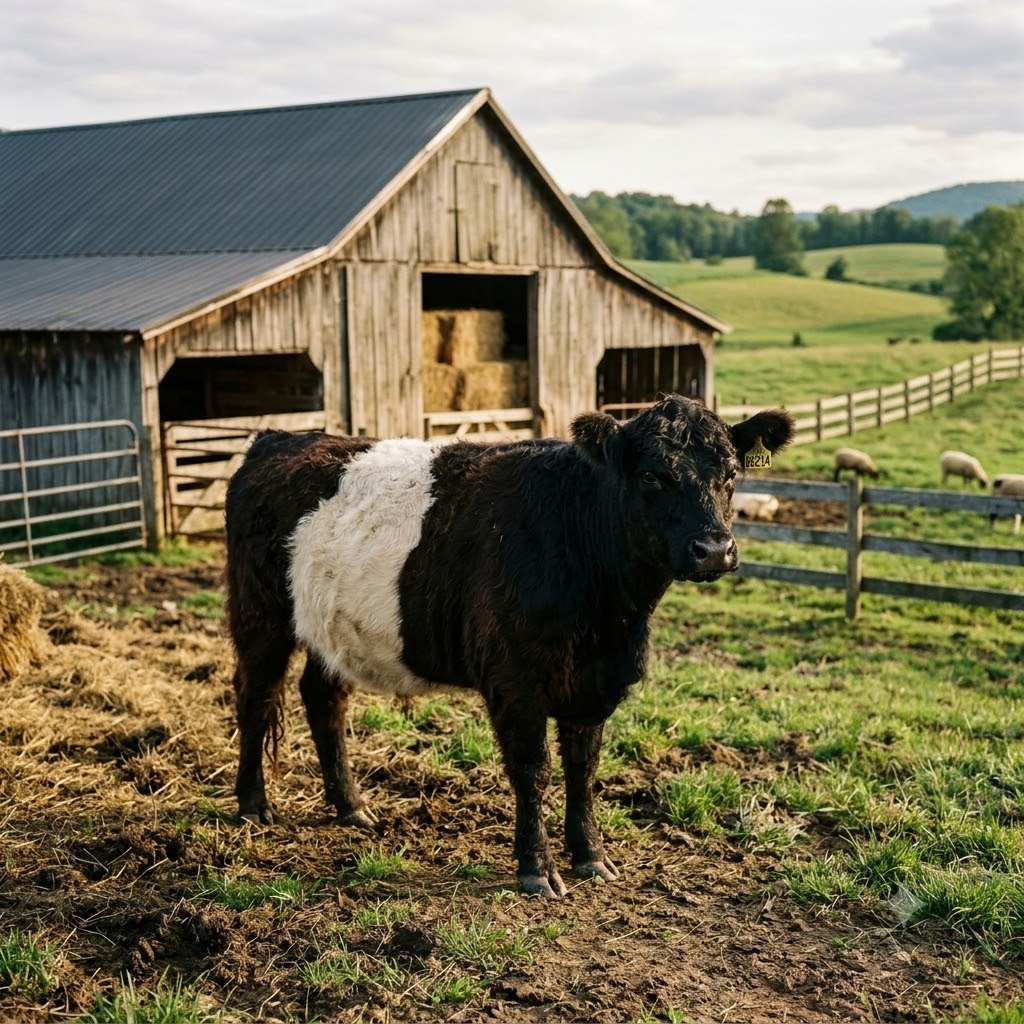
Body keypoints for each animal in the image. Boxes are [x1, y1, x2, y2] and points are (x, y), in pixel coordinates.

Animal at [224, 395, 795, 897]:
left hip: (332, 629)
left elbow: (583, 769)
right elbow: (532, 769)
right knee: (256, 697)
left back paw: (351, 807)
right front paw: (536, 870)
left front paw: (591, 858)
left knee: (324, 699)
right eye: (654, 475)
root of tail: (276, 439)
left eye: (731, 475)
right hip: (261, 616)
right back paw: (253, 805)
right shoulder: (515, 680)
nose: (714, 550)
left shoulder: (593, 683)